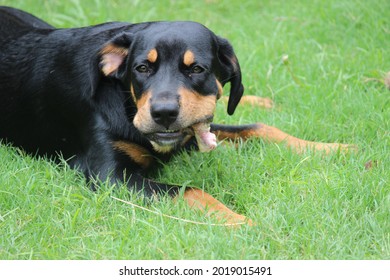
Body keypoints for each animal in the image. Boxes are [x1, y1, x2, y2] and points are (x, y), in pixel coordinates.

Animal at [0, 6, 354, 225]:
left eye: (196, 69)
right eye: (142, 68)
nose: (164, 113)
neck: (126, 102)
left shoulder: (197, 126)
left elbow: (258, 128)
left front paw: (334, 149)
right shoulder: (110, 177)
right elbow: (192, 191)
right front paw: (242, 222)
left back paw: (266, 101)